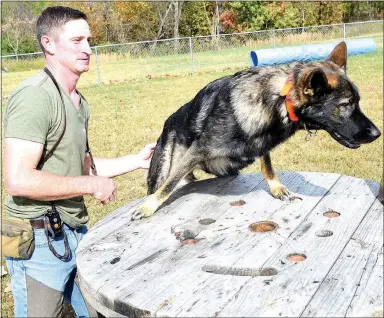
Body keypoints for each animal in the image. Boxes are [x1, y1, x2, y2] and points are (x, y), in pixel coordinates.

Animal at [131, 41, 380, 220]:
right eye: (346, 105)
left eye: (358, 101)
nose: (377, 133)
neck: (279, 101)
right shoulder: (197, 151)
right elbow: (168, 185)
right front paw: (148, 207)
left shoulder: (263, 143)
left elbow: (267, 164)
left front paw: (276, 188)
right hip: (163, 166)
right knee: (166, 181)